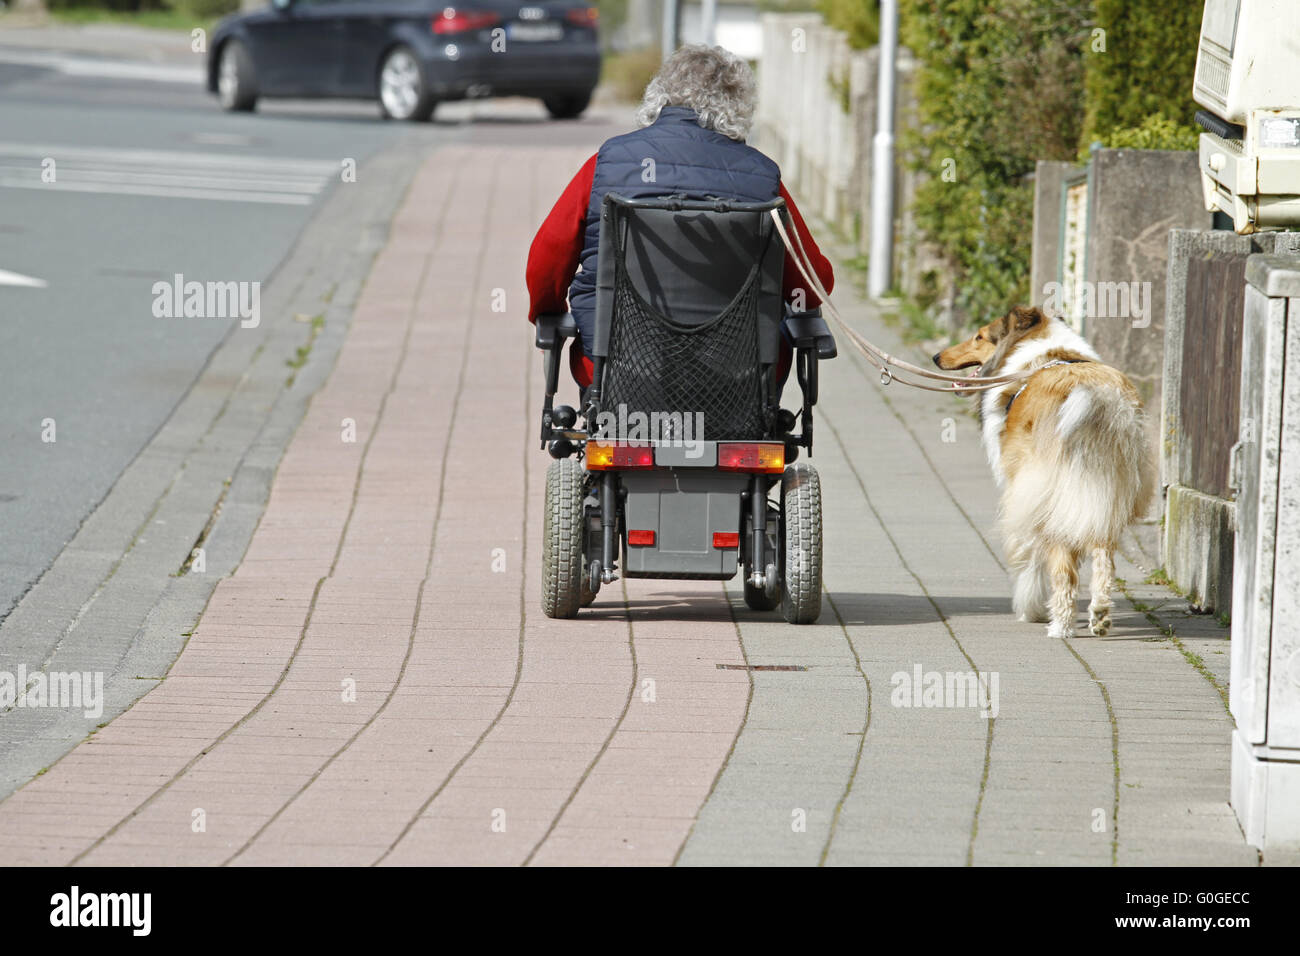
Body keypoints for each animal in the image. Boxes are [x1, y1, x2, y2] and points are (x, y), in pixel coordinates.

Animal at [930, 306, 1154, 634]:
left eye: (979, 336)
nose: (936, 356)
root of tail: (1098, 398)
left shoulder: (1024, 494)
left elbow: (1030, 557)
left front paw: (1030, 609)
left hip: (1051, 494)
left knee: (1063, 570)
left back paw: (1059, 626)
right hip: (1106, 495)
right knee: (1103, 558)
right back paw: (1099, 615)